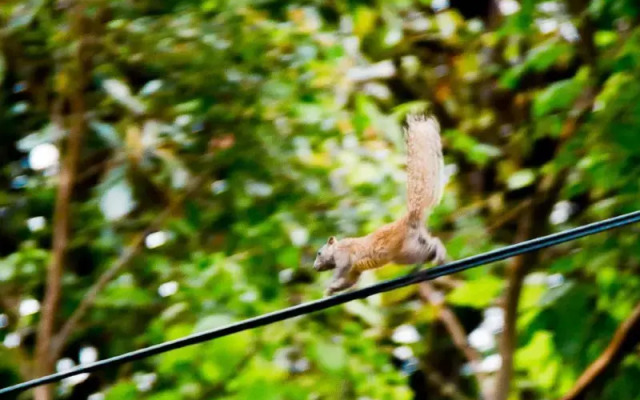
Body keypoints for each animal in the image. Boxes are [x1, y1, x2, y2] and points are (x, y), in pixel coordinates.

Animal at [314, 114, 444, 296]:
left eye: (319, 253)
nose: (314, 267)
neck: (338, 247)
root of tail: (409, 220)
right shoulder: (355, 270)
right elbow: (349, 281)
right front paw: (332, 290)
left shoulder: (344, 255)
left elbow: (342, 270)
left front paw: (331, 284)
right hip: (417, 242)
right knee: (432, 242)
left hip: (406, 251)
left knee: (430, 247)